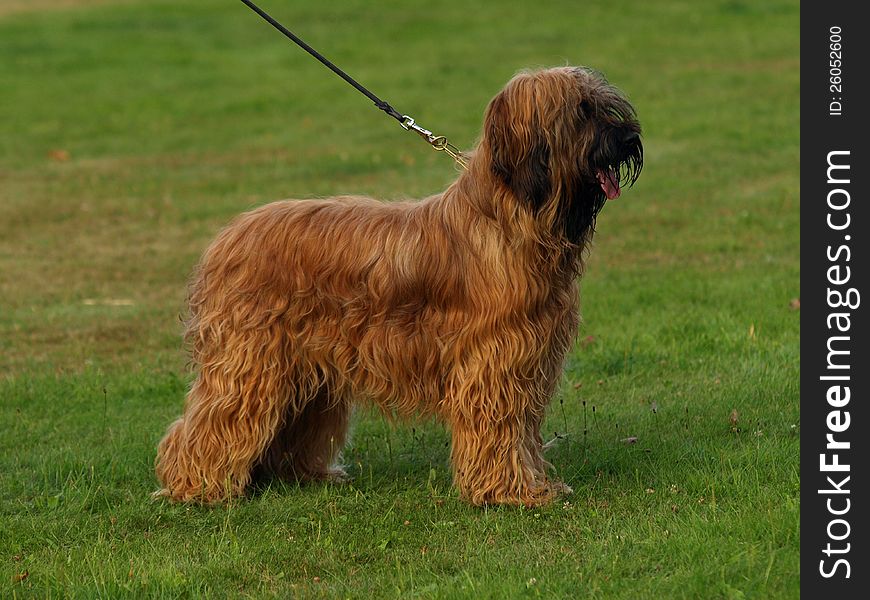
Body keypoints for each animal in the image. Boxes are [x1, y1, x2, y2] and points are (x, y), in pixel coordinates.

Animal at [157, 65, 644, 506]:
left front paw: (531, 485)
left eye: (602, 103)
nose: (629, 139)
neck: (507, 219)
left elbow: (522, 430)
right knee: (212, 419)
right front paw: (511, 492)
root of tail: (226, 237)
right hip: (250, 359)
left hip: (303, 368)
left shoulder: (529, 356)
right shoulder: (494, 361)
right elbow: (501, 427)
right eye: (581, 111)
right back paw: (195, 486)